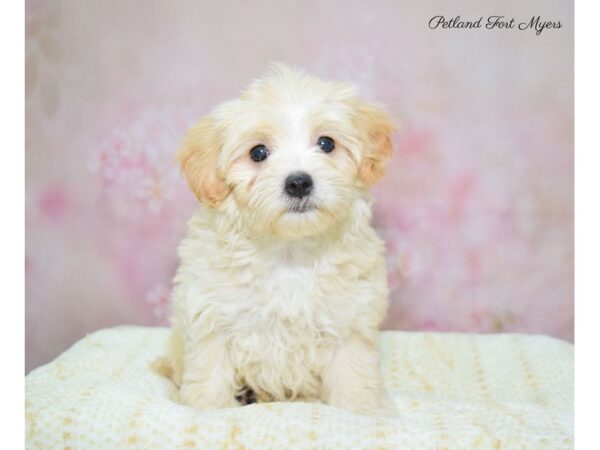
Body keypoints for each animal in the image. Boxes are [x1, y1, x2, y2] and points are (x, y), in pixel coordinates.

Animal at [166, 62, 396, 414]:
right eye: (258, 152)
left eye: (326, 144)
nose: (299, 182)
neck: (289, 249)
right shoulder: (210, 315)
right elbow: (210, 370)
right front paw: (209, 408)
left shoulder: (351, 319)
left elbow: (352, 371)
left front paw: (360, 408)